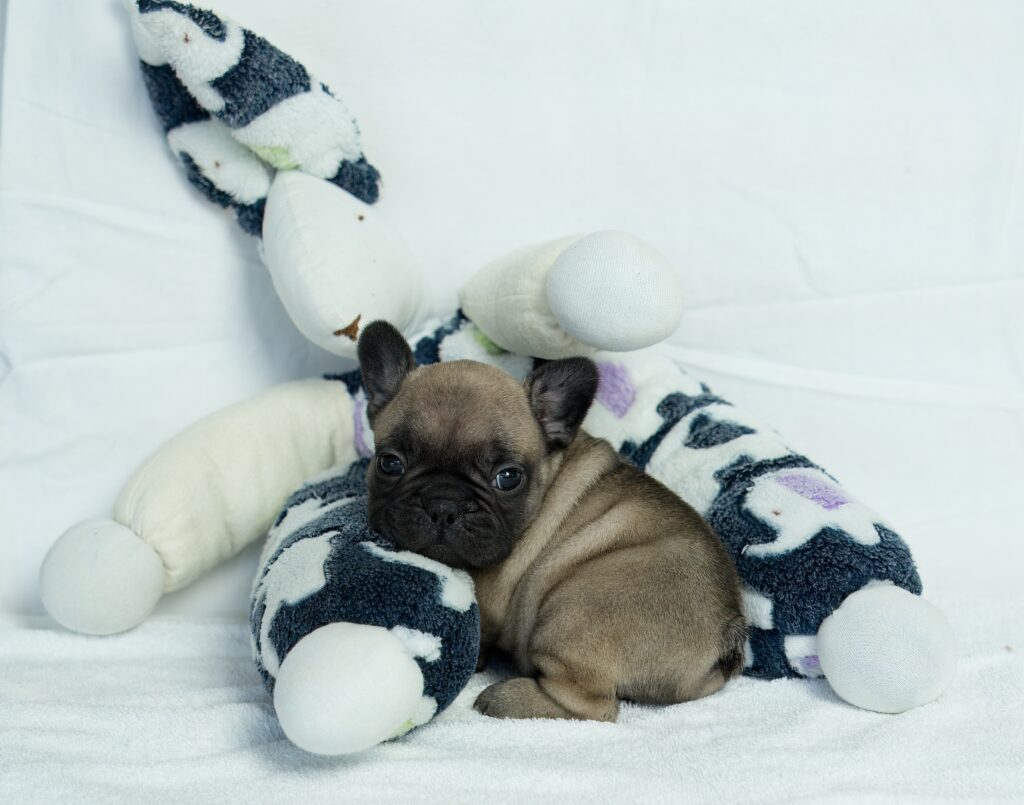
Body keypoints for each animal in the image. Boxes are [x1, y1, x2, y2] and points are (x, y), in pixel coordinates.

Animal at [358, 320, 746, 722]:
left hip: (569, 615)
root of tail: (728, 633)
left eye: (508, 478)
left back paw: (504, 698)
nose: (444, 505)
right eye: (389, 463)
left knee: (596, 708)